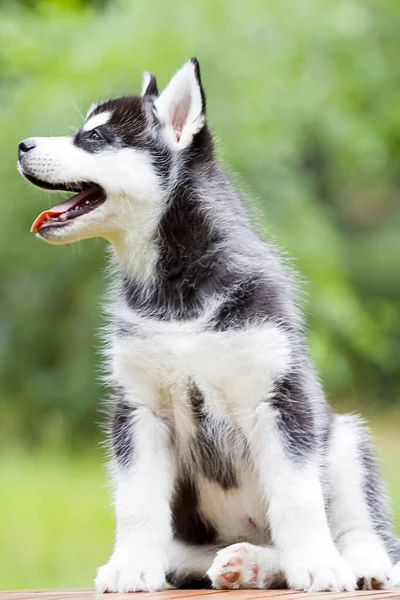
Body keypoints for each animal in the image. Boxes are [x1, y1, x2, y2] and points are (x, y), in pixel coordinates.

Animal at [18, 58, 400, 592]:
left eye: (93, 137)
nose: (21, 145)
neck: (175, 293)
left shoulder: (279, 396)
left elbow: (298, 497)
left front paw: (319, 564)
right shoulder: (137, 409)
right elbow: (136, 503)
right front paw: (130, 564)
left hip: (345, 439)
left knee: (364, 527)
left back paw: (358, 563)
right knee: (201, 554)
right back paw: (246, 563)